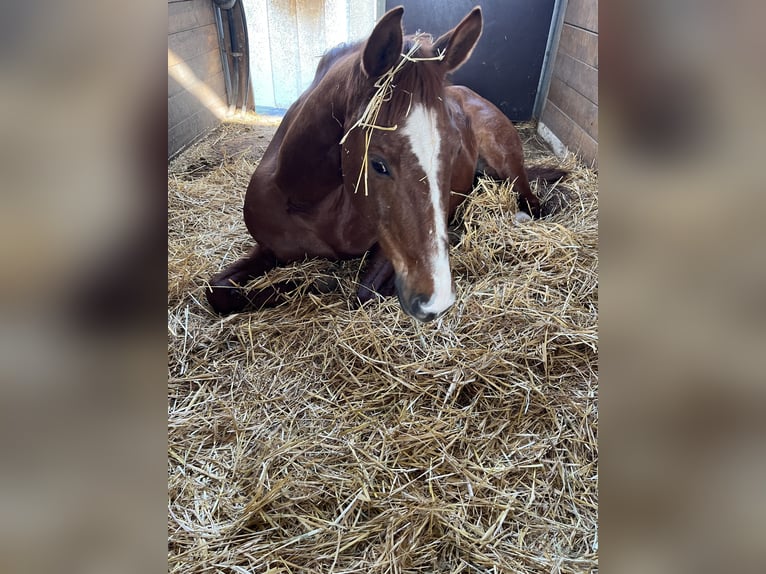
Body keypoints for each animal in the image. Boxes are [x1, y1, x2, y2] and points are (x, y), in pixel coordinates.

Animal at [207, 4, 568, 322]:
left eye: (453, 151)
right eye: (377, 164)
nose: (436, 298)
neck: (305, 199)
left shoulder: (389, 246)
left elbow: (362, 292)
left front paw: (322, 283)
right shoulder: (268, 249)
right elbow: (217, 290)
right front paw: (311, 283)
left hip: (505, 160)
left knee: (532, 200)